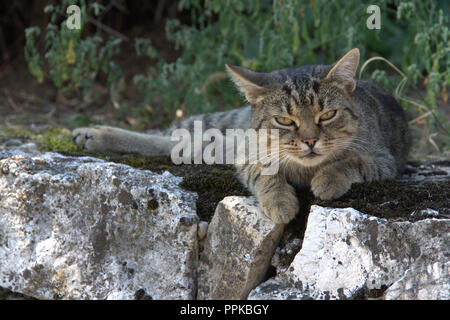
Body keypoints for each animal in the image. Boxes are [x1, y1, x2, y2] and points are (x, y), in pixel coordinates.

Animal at [73, 49, 412, 225]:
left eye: (326, 115)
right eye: (284, 120)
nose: (310, 140)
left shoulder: (384, 160)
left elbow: (349, 163)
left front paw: (327, 179)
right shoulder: (250, 156)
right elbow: (266, 175)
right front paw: (280, 203)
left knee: (174, 145)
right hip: (221, 131)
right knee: (169, 138)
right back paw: (94, 133)